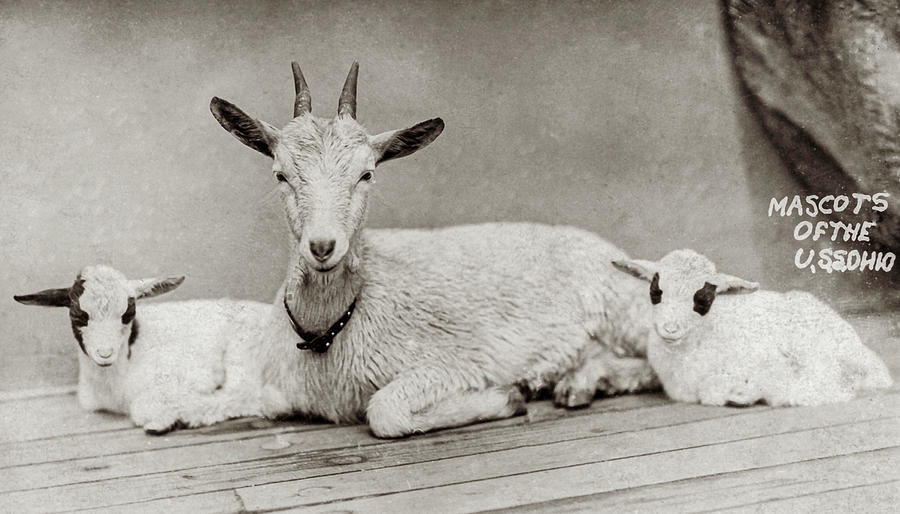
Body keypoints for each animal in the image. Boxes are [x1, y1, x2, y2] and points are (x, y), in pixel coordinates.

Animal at [15, 264, 268, 432]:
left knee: (249, 393)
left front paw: (167, 416)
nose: (105, 353)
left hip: (243, 347)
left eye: (127, 314)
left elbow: (145, 406)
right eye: (78, 316)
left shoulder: (195, 375)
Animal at [211, 61, 660, 436]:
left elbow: (386, 411)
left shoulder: (457, 361)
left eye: (366, 174)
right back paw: (577, 384)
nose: (322, 246)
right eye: (280, 174)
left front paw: (508, 397)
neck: (328, 334)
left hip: (624, 308)